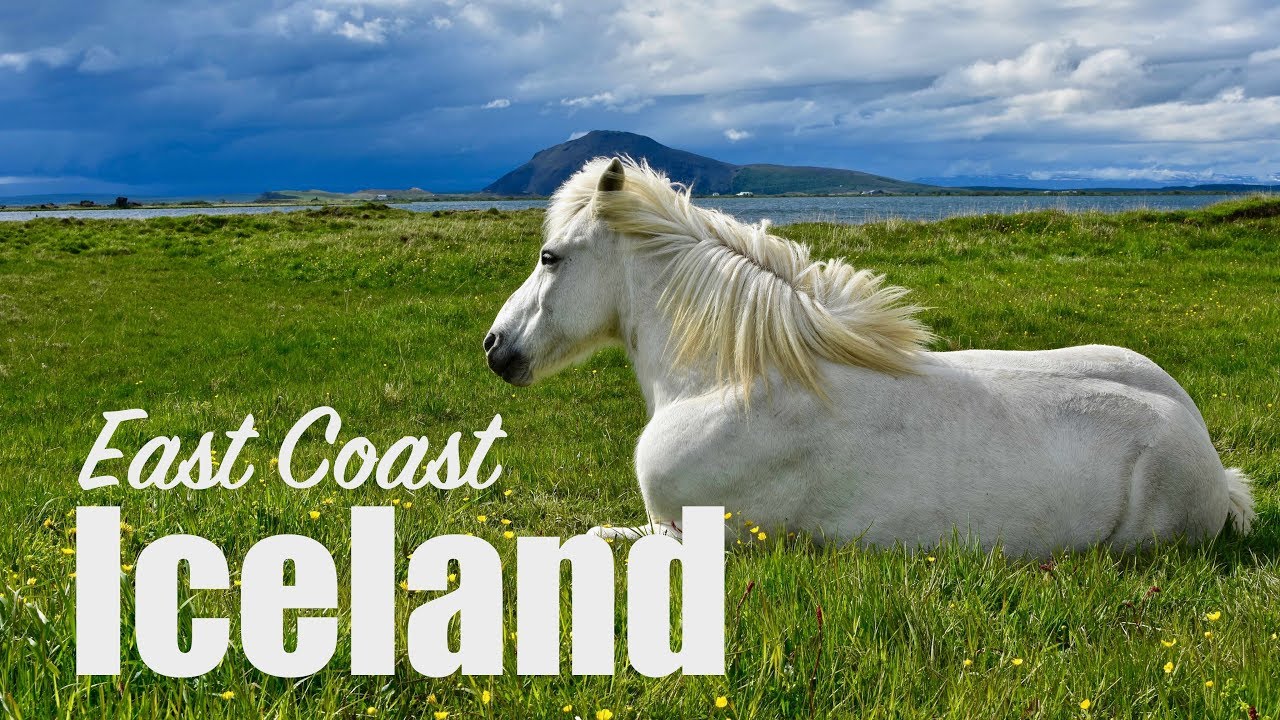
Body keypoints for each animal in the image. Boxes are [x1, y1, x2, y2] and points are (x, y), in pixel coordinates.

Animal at [484, 156, 1255, 555]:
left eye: (551, 256)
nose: (496, 349)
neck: (728, 380)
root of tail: (1213, 462)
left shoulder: (697, 538)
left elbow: (587, 538)